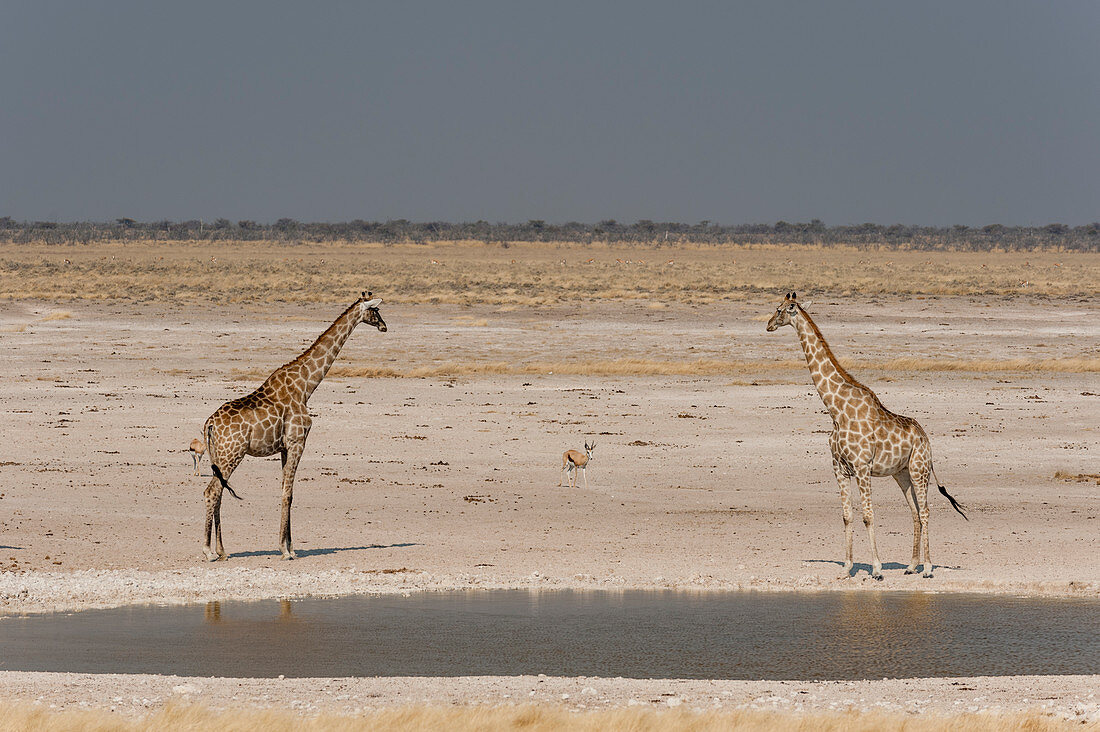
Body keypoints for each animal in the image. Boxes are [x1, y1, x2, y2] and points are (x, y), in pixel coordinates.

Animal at [202, 290, 387, 559]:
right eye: (375, 310)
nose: (384, 326)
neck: (306, 386)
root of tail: (209, 424)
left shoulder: (284, 447)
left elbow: (286, 490)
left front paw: (289, 547)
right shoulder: (298, 441)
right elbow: (288, 493)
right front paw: (286, 550)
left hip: (218, 455)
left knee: (219, 493)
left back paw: (222, 550)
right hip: (232, 453)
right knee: (212, 491)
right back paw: (208, 551)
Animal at [765, 290, 963, 576]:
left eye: (781, 309)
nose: (768, 324)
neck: (836, 410)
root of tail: (926, 438)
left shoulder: (861, 467)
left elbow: (868, 516)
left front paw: (877, 569)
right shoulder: (839, 468)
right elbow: (847, 516)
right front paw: (847, 568)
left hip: (920, 469)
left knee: (925, 512)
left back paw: (927, 567)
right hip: (902, 474)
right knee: (914, 512)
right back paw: (911, 566)